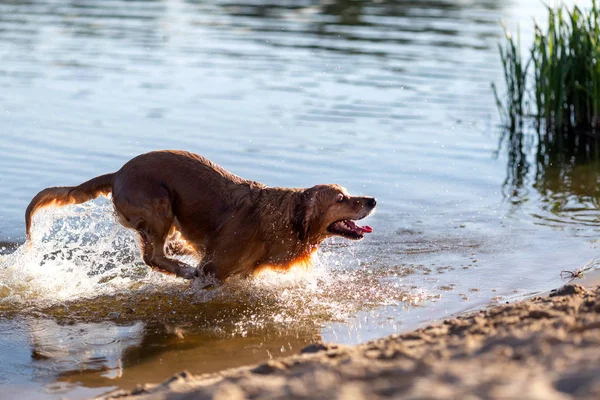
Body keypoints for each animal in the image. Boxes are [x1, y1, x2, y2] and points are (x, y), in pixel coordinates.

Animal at [28, 151, 378, 282]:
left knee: (162, 248)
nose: (372, 199)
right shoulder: (216, 268)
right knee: (152, 256)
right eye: (341, 199)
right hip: (159, 203)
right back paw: (183, 269)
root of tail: (116, 174)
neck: (287, 218)